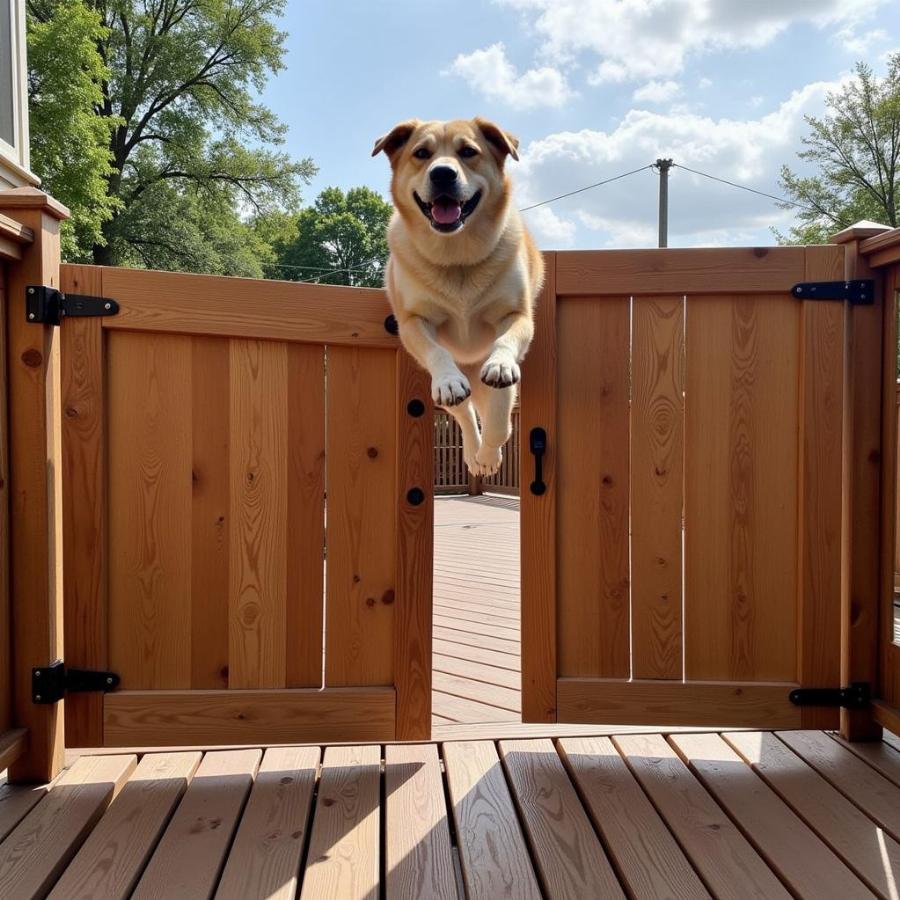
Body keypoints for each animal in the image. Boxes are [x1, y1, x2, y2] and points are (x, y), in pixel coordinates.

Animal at [370, 119, 540, 478]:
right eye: (422, 153)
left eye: (468, 151)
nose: (443, 174)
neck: (456, 259)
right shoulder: (413, 321)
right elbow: (436, 350)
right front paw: (449, 382)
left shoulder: (516, 315)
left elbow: (501, 416)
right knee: (464, 413)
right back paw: (473, 450)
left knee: (494, 411)